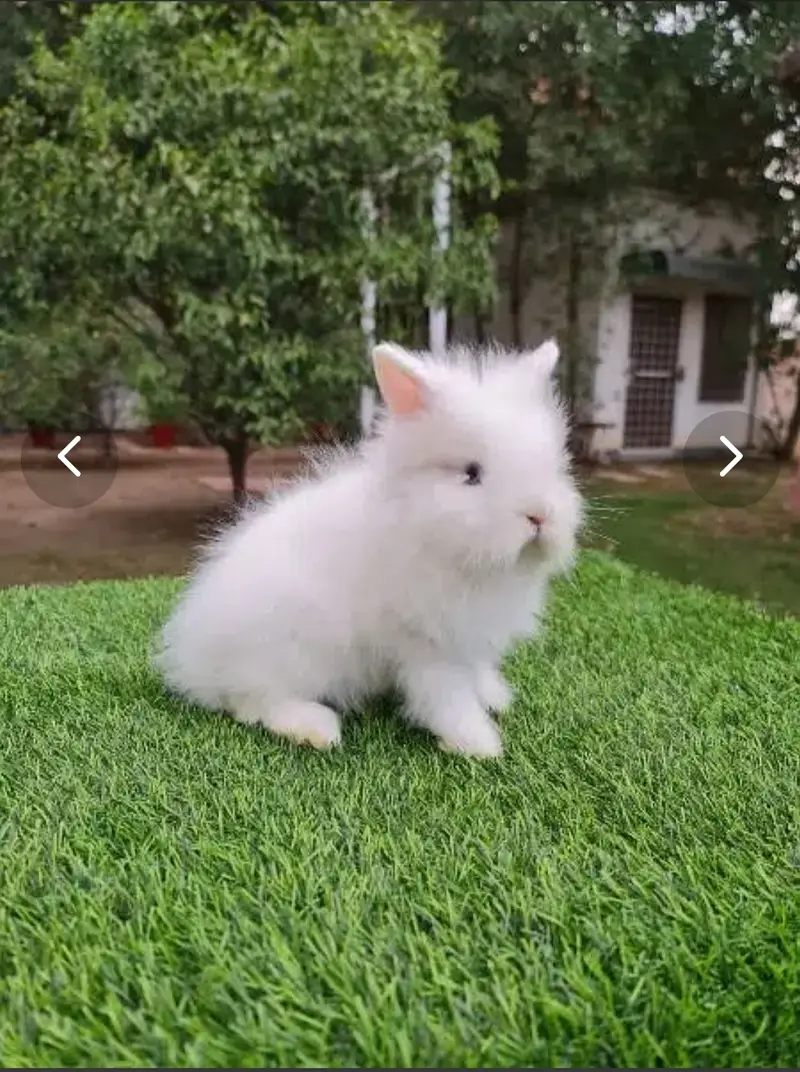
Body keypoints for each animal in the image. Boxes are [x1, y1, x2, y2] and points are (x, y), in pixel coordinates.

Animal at [155, 338, 583, 758]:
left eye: (554, 464)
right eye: (471, 474)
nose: (539, 515)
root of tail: (194, 661)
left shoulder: (469, 639)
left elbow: (475, 673)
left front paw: (494, 697)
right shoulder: (427, 644)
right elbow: (448, 698)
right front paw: (478, 744)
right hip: (293, 651)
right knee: (254, 703)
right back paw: (316, 728)